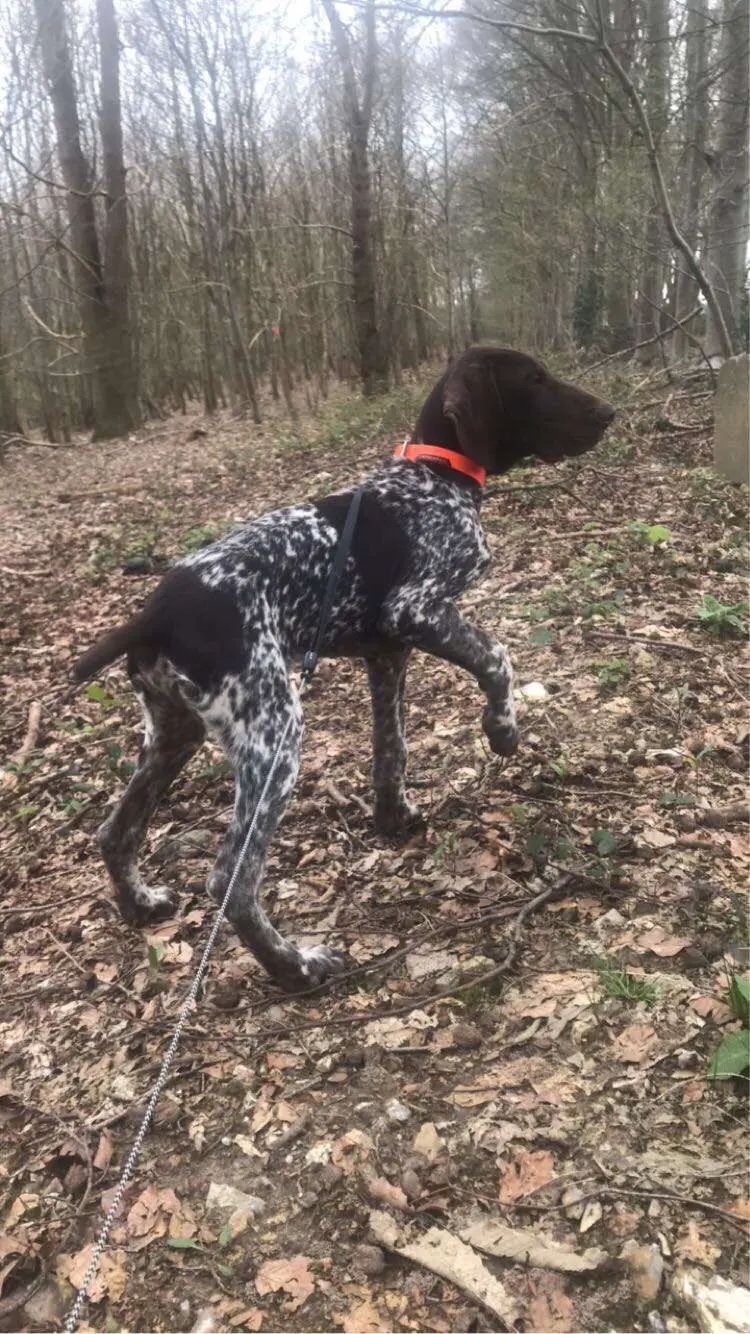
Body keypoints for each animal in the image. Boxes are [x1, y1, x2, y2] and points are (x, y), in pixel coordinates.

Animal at [74, 344, 613, 992]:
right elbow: (497, 656)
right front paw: (502, 729)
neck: (437, 475)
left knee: (115, 832)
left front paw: (393, 818)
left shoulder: (388, 655)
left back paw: (141, 905)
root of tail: (154, 613)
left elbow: (391, 751)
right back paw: (296, 968)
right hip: (275, 735)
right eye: (535, 378)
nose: (609, 412)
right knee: (231, 882)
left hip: (175, 733)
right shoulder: (419, 610)